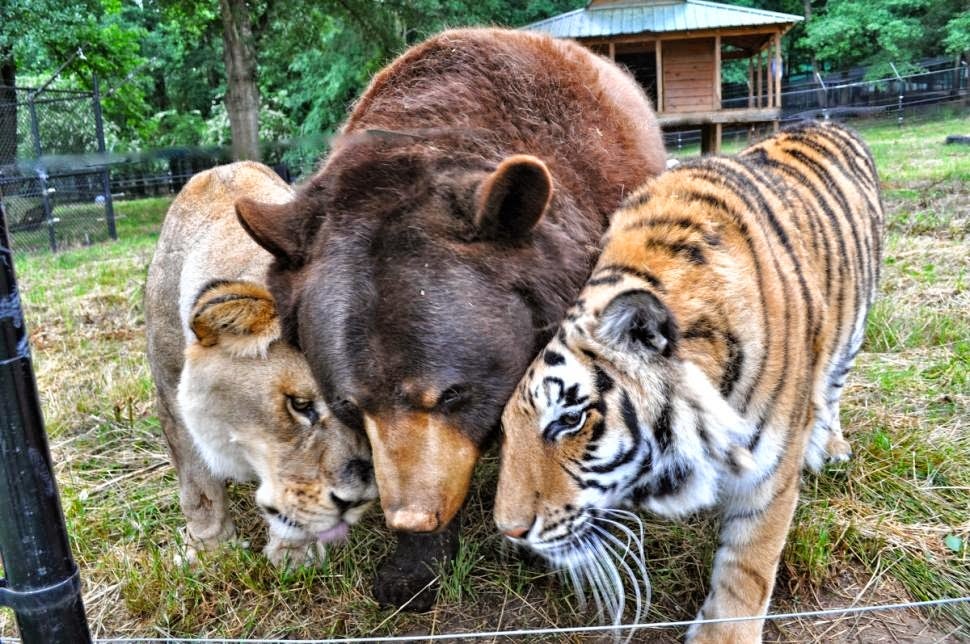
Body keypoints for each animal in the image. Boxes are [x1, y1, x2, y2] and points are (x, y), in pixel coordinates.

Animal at [145, 161, 377, 566]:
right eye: (300, 405)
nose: (357, 500)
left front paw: (295, 555)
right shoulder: (170, 398)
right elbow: (198, 487)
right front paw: (209, 550)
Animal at [494, 121, 883, 643]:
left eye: (569, 420)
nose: (509, 531)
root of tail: (827, 121)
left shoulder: (770, 470)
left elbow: (748, 564)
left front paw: (725, 635)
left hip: (854, 331)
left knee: (834, 387)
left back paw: (833, 445)